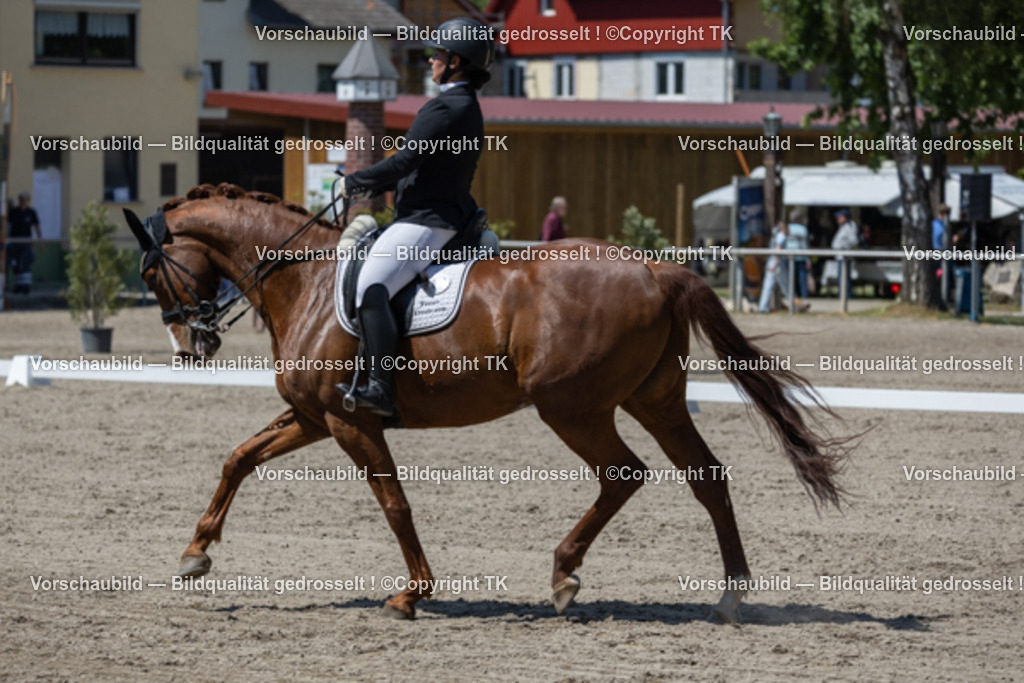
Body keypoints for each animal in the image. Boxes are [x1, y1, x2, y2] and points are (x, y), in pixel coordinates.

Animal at [125, 183, 848, 623]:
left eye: (150, 272)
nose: (190, 343)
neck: (306, 281)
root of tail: (654, 268)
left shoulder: (348, 419)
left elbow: (394, 503)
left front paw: (412, 593)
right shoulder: (313, 417)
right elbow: (239, 458)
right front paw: (195, 553)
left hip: (571, 406)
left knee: (623, 474)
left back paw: (564, 574)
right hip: (656, 400)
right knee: (706, 476)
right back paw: (730, 594)